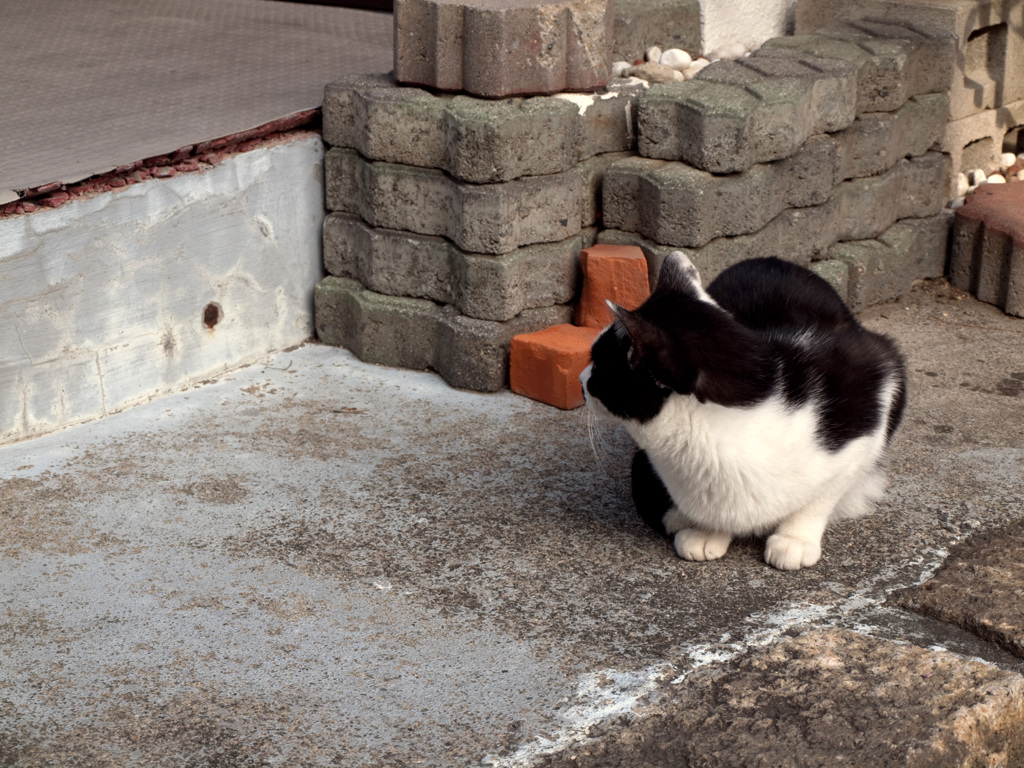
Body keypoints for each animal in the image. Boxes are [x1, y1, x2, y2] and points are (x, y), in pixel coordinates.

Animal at [581, 252, 909, 573]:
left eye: (598, 365)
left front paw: (795, 538)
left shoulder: (871, 390)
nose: (581, 381)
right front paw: (707, 531)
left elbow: (822, 495)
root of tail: (773, 259)